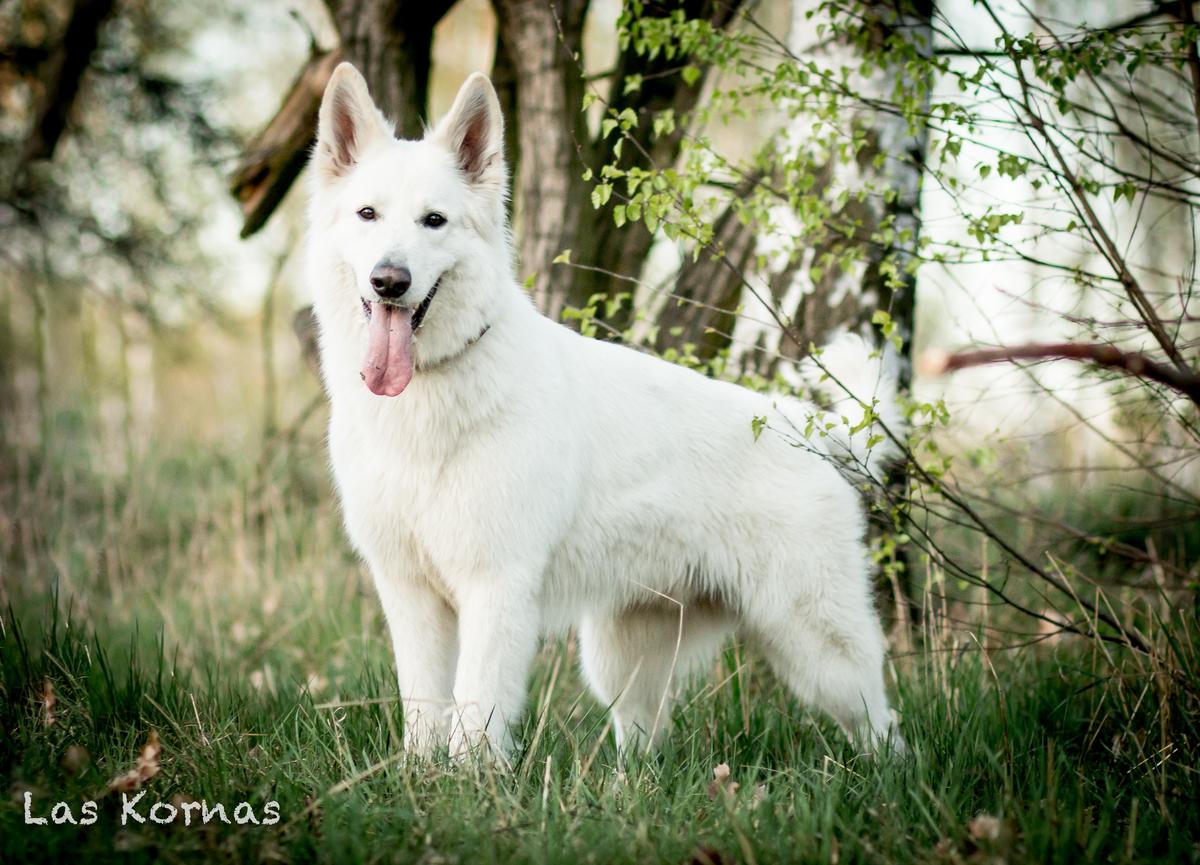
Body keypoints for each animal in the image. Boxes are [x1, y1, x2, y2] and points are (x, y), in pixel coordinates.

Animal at [309, 62, 907, 763]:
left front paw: (468, 782)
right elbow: (424, 714)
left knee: (883, 728)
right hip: (622, 659)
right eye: (367, 214)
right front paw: (422, 777)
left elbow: (475, 712)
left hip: (819, 650)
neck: (436, 386)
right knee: (644, 742)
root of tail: (801, 424)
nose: (390, 281)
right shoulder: (410, 595)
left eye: (434, 221)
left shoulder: (495, 589)